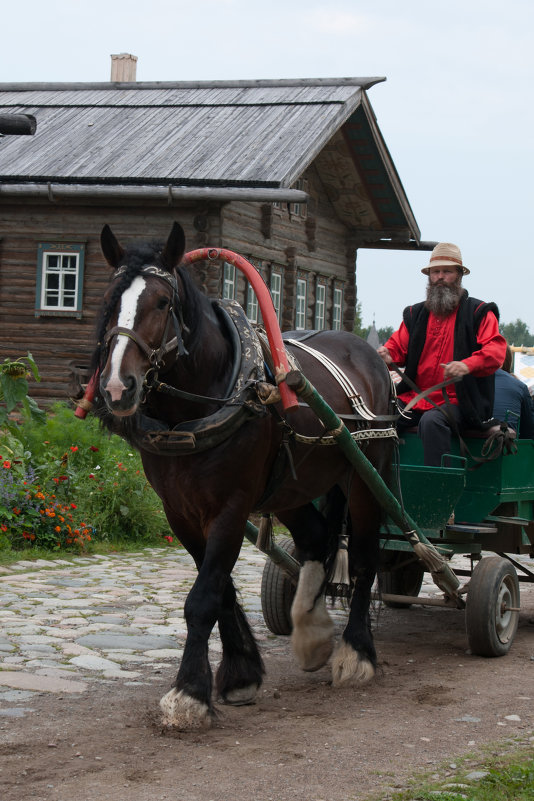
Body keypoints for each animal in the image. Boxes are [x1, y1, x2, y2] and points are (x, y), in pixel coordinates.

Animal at [92, 222, 396, 728]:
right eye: (109, 300)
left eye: (163, 302)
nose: (117, 388)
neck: (194, 411)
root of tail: (367, 353)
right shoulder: (180, 512)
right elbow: (220, 589)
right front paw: (240, 673)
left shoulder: (231, 508)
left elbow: (203, 598)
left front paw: (189, 694)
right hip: (294, 487)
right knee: (316, 539)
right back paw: (312, 632)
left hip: (368, 478)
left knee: (365, 559)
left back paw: (356, 652)